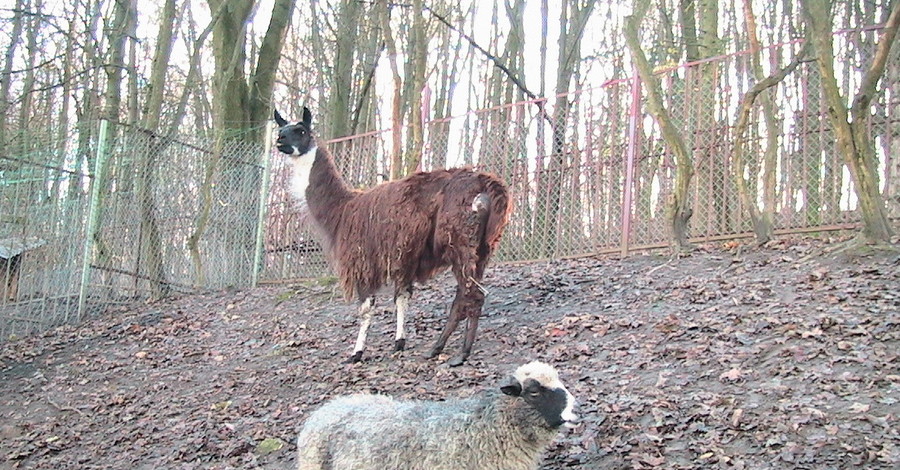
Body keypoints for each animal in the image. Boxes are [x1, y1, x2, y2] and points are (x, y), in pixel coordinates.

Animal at [274, 107, 510, 368]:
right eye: (281, 128)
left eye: (300, 130)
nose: (280, 140)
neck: (342, 210)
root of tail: (487, 183)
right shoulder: (403, 257)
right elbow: (402, 298)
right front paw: (399, 342)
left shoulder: (363, 261)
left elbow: (366, 309)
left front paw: (357, 353)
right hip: (483, 247)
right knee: (462, 297)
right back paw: (436, 349)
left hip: (460, 240)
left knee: (473, 295)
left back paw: (462, 354)